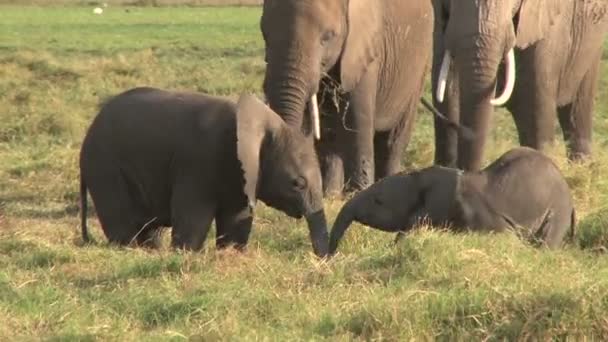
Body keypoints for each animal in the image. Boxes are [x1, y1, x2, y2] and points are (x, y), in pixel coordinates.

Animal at [80, 87, 330, 255]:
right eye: (297, 183)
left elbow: (235, 221)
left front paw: (229, 254)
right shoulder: (198, 162)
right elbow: (194, 221)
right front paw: (185, 254)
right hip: (105, 169)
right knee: (123, 225)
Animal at [258, 0, 434, 196]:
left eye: (327, 37)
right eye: (264, 33)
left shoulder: (364, 50)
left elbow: (356, 121)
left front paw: (358, 192)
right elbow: (326, 129)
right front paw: (329, 196)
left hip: (421, 67)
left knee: (394, 138)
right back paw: (332, 192)